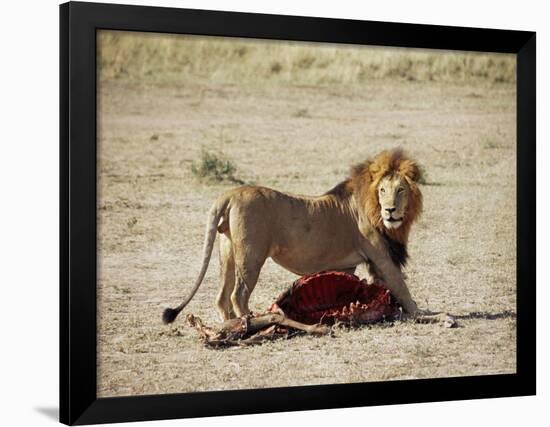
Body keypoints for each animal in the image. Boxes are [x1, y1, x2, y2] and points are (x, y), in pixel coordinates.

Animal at [163, 148, 422, 324]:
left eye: (401, 190)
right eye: (382, 190)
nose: (390, 210)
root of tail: (231, 193)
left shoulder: (350, 265)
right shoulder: (381, 256)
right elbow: (402, 287)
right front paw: (422, 313)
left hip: (227, 251)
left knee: (222, 296)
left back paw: (230, 326)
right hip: (251, 255)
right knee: (239, 294)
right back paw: (251, 322)